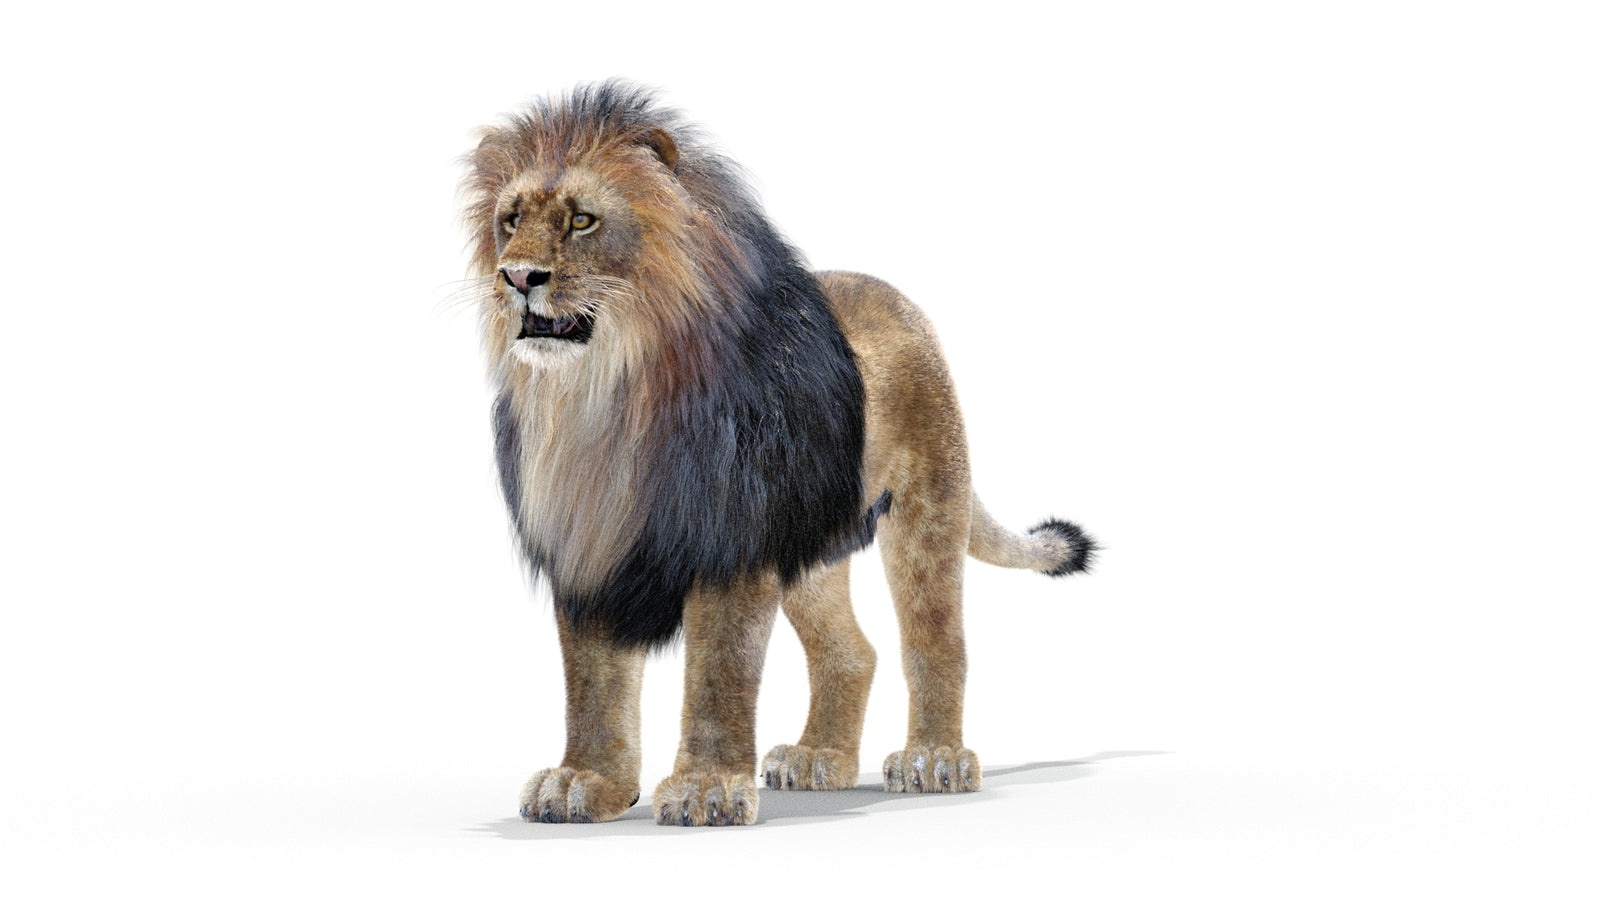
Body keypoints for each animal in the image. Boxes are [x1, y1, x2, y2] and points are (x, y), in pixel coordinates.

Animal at [459, 81, 1097, 826]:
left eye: (583, 220)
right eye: (510, 220)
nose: (516, 277)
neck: (603, 395)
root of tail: (895, 298)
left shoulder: (730, 539)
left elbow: (719, 672)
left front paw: (705, 789)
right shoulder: (585, 541)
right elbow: (592, 679)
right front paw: (585, 781)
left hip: (927, 507)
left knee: (936, 639)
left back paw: (933, 760)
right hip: (812, 549)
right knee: (852, 653)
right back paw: (819, 759)